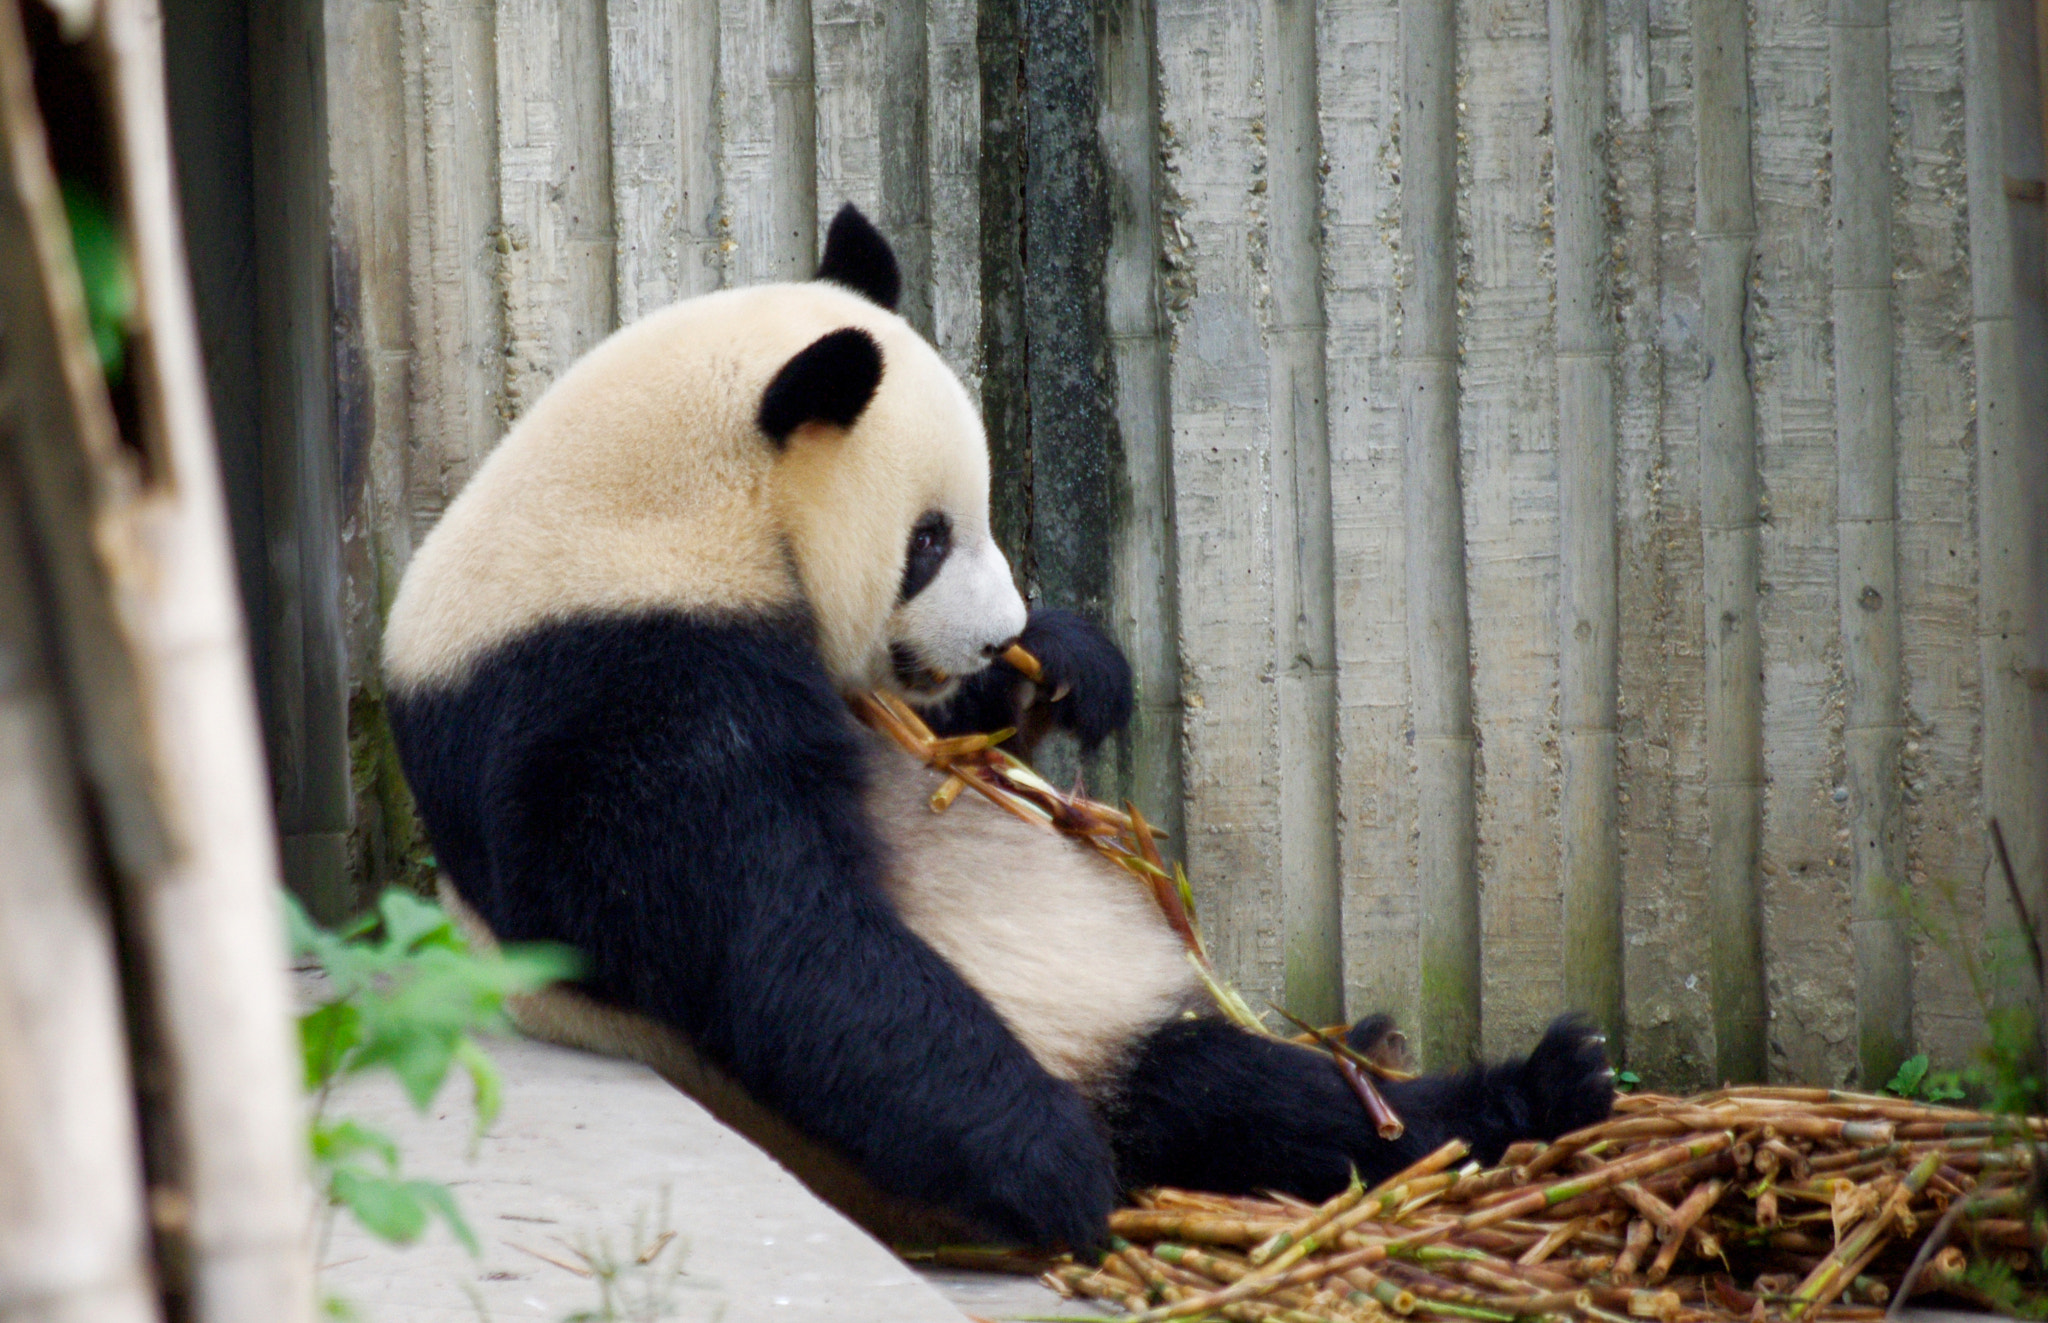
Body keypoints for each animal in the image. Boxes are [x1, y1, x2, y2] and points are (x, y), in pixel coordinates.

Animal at [376, 204, 1605, 1253]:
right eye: (926, 540)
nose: (997, 633)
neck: (648, 516)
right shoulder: (615, 680)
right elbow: (776, 936)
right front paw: (1050, 1168)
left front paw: (1063, 672)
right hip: (1066, 1038)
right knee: (1236, 1102)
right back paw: (1521, 1088)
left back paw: (1467, 1065)